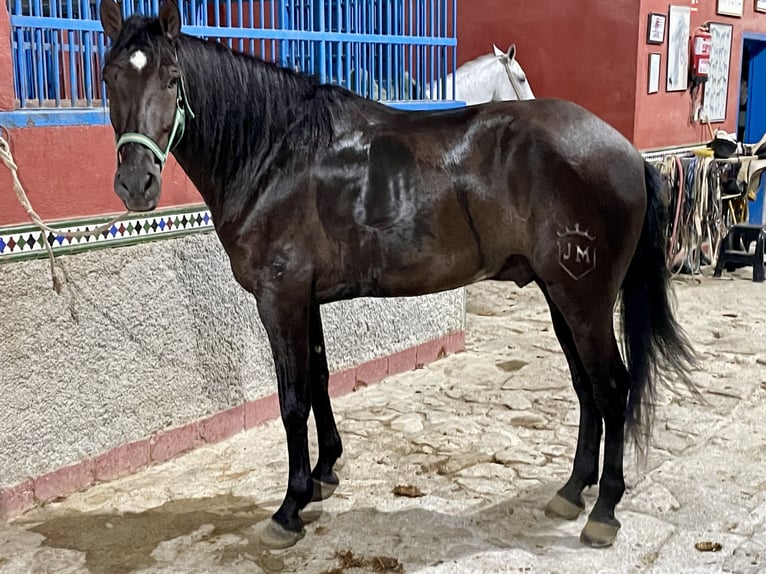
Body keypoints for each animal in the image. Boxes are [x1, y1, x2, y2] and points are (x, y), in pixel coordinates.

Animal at [98, 0, 696, 550]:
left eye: (172, 79)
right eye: (109, 77)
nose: (136, 184)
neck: (277, 156)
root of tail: (627, 150)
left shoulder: (280, 299)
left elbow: (292, 400)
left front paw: (289, 509)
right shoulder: (305, 300)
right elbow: (319, 380)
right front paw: (324, 474)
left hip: (584, 298)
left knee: (612, 387)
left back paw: (604, 510)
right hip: (558, 295)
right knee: (586, 387)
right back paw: (572, 491)